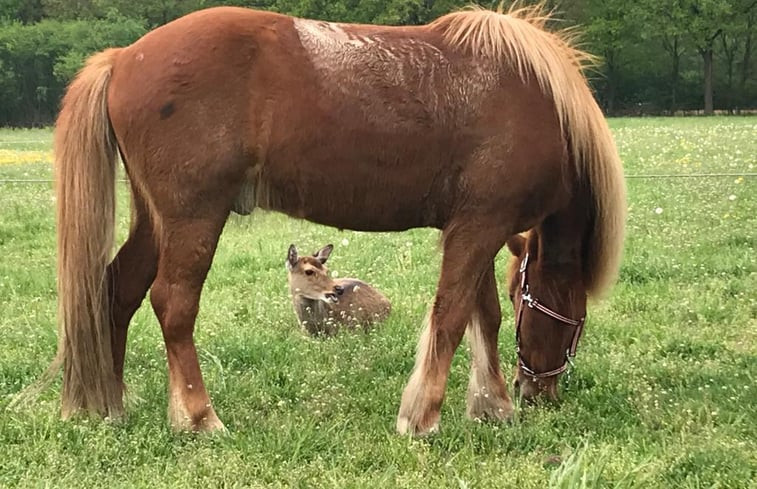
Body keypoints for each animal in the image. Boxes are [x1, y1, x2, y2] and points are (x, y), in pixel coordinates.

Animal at [48, 2, 628, 430]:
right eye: (569, 310)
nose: (540, 393)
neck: (534, 100)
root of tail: (124, 57)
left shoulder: (476, 229)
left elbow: (481, 315)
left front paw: (493, 406)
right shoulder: (478, 228)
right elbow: (451, 315)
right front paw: (423, 418)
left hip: (156, 221)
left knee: (116, 292)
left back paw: (110, 408)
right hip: (193, 218)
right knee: (173, 305)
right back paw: (198, 417)